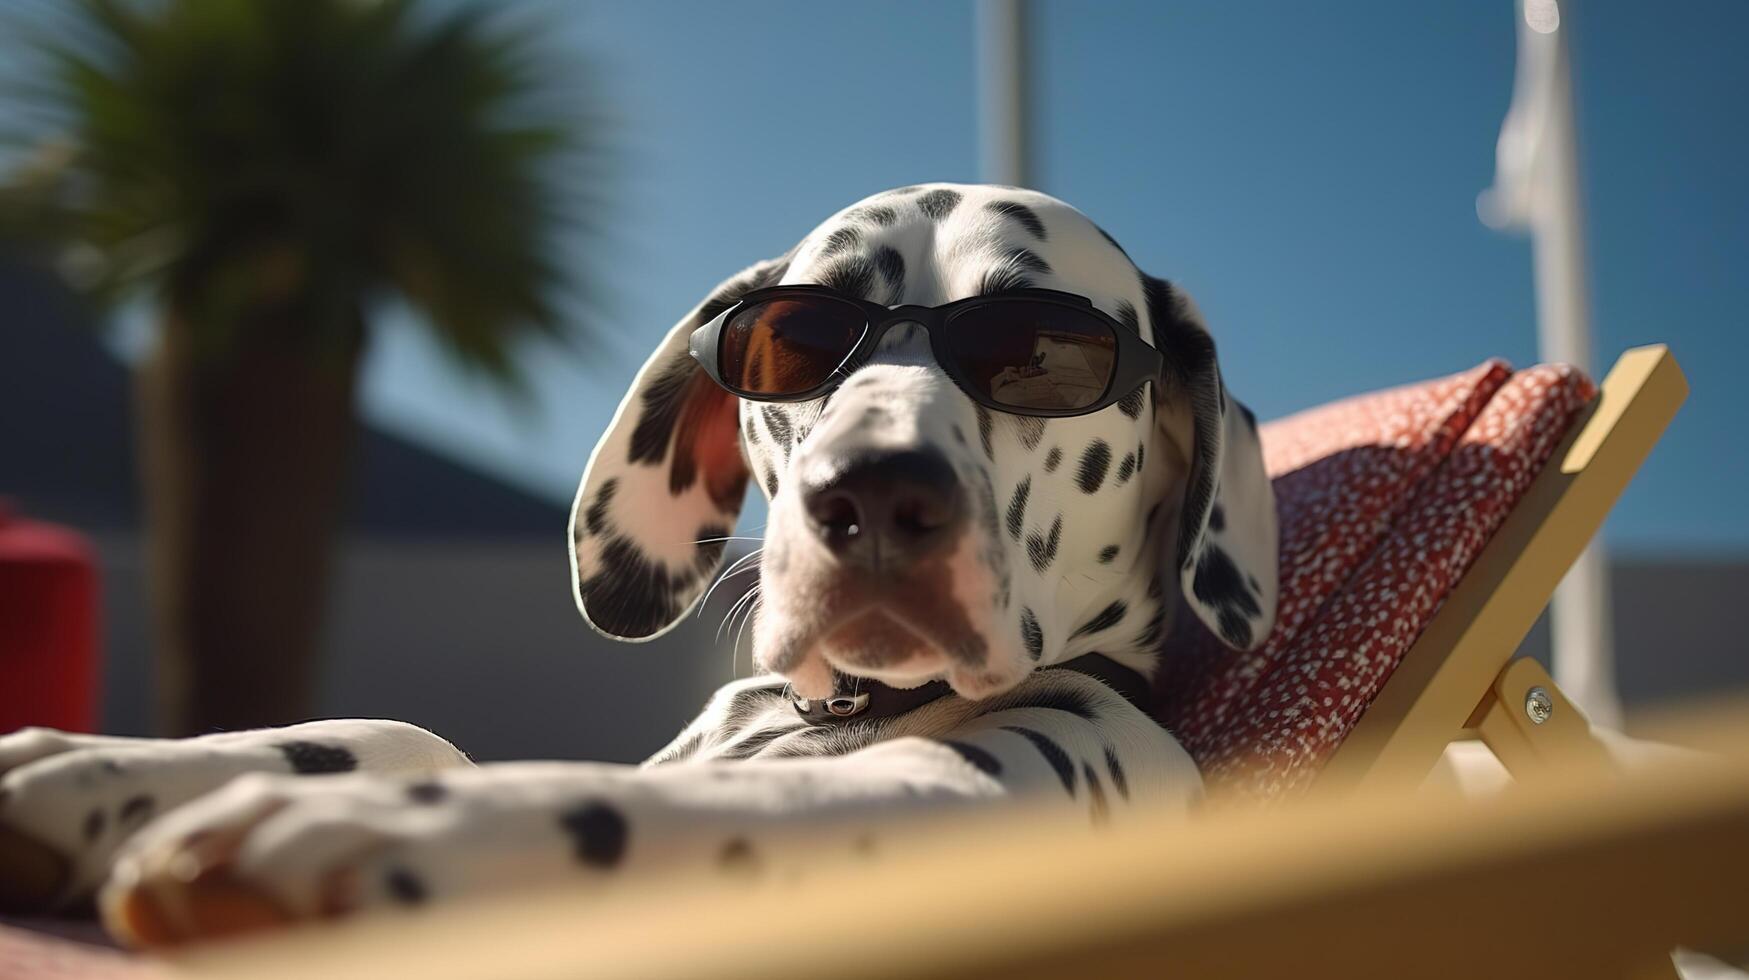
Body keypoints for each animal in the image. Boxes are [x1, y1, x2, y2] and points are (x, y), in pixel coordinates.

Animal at [0, 182, 1280, 945]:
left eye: (1043, 353)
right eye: (794, 337)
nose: (871, 495)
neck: (846, 711)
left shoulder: (982, 790)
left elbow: (662, 798)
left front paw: (389, 823)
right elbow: (404, 730)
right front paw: (101, 765)